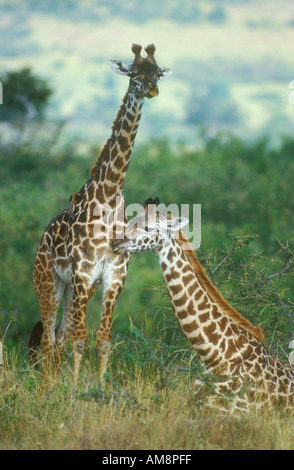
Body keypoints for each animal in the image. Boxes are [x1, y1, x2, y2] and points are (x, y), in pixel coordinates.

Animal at [29, 45, 172, 392]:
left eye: (158, 73)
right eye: (134, 73)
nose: (152, 90)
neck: (108, 195)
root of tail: (41, 240)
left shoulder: (113, 276)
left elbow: (103, 338)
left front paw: (102, 389)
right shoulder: (83, 273)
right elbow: (81, 339)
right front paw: (74, 395)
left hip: (74, 289)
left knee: (59, 337)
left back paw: (52, 386)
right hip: (48, 282)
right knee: (49, 338)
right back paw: (45, 392)